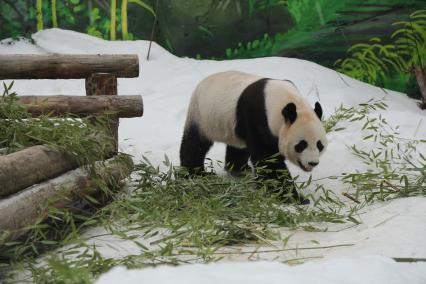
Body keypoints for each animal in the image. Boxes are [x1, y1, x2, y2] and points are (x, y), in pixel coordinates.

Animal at [178, 71, 328, 204]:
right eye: (302, 145)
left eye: (319, 145)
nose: (313, 163)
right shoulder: (257, 117)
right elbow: (268, 161)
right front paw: (293, 197)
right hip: (202, 116)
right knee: (195, 144)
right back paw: (196, 173)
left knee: (238, 147)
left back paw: (239, 169)